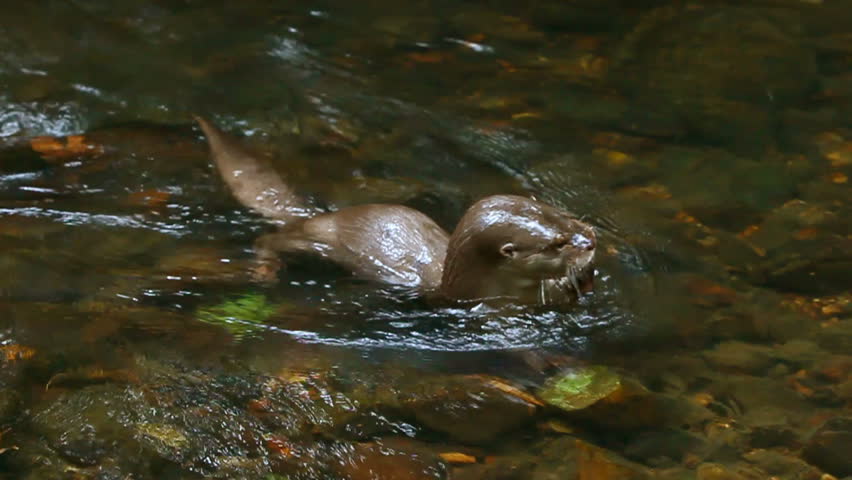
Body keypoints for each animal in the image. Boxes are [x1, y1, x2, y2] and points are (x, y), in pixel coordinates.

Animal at [195, 117, 595, 305]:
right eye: (558, 243)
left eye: (564, 215)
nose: (590, 241)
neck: (463, 284)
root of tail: (320, 214)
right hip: (317, 239)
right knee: (271, 237)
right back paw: (264, 270)